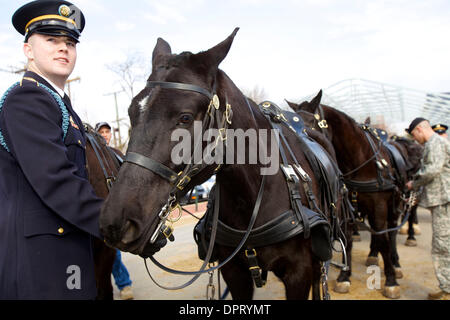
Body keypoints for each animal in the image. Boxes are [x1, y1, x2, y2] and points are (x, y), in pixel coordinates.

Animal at [97, 29, 342, 300]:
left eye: (185, 118)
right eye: (131, 113)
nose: (115, 223)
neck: (253, 197)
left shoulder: (299, 273)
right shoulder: (235, 274)